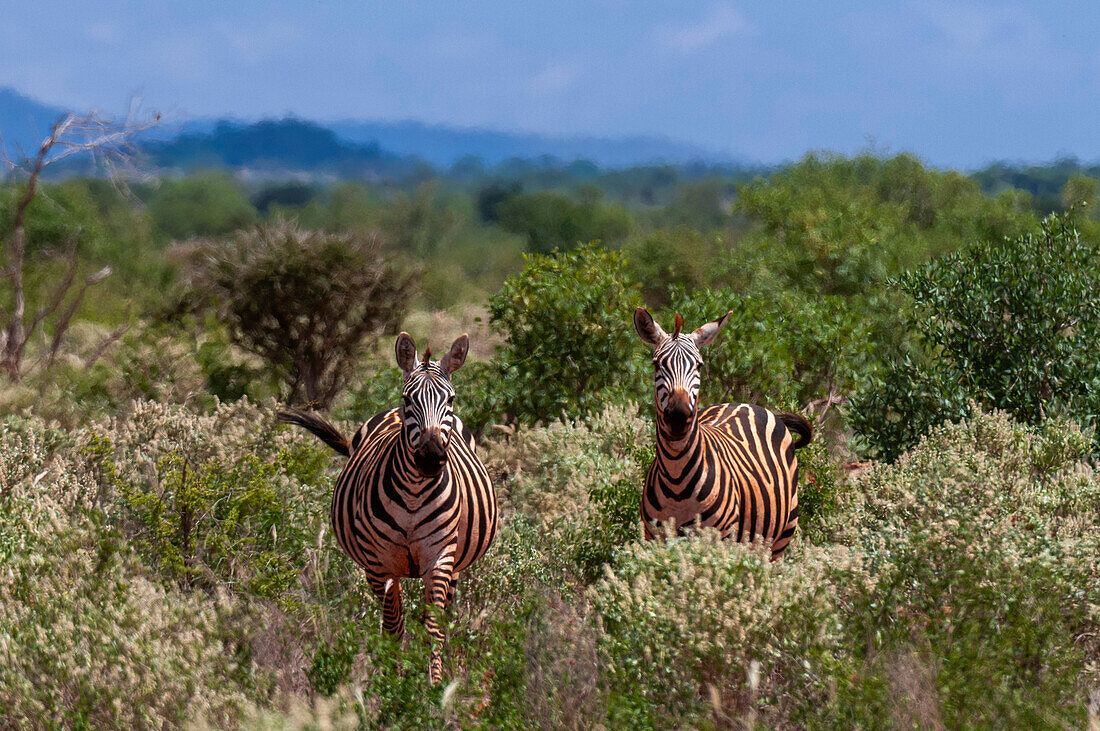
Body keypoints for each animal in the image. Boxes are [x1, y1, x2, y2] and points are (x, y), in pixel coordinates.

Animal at [277, 331, 497, 685]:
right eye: (409, 400)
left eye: (450, 400)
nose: (431, 457)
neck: (415, 493)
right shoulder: (380, 564)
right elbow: (393, 628)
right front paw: (393, 686)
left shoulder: (440, 558)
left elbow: (433, 628)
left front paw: (434, 686)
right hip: (378, 569)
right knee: (394, 620)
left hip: (452, 567)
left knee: (438, 617)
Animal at [633, 307, 814, 558]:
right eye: (656, 364)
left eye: (699, 365)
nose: (678, 417)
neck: (676, 480)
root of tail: (746, 403)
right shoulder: (653, 542)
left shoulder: (719, 541)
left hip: (780, 539)